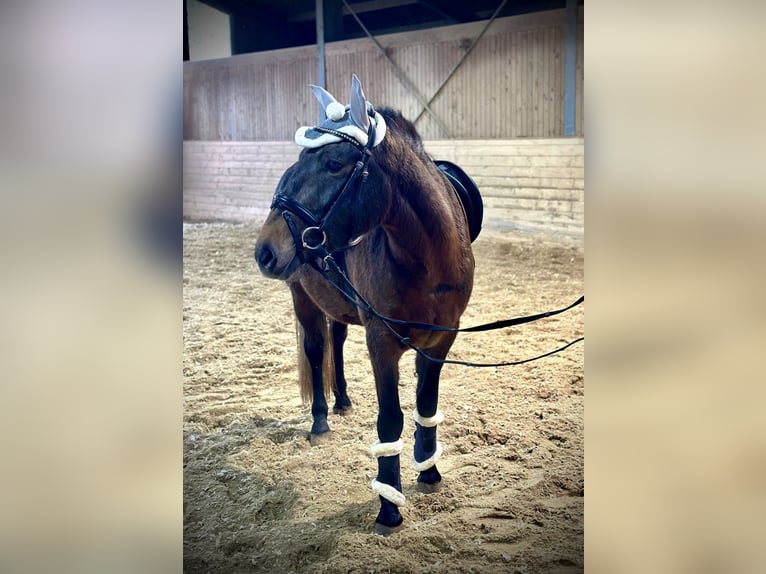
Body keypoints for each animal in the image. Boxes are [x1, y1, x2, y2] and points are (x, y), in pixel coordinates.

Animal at [252, 75, 480, 536]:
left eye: (334, 163)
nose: (265, 250)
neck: (427, 260)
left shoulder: (441, 342)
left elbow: (426, 404)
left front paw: (429, 471)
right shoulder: (382, 343)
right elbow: (390, 418)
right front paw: (389, 506)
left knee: (336, 341)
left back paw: (342, 400)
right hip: (302, 296)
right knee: (316, 349)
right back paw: (321, 419)